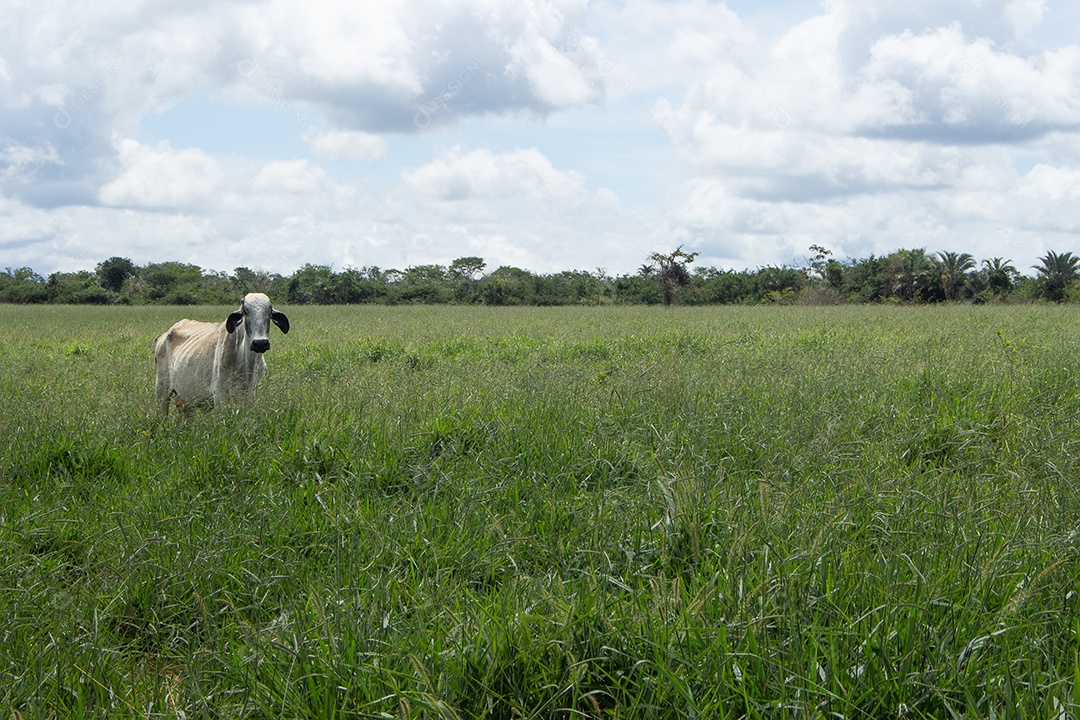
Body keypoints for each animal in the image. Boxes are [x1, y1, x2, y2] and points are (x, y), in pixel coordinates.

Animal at [155, 292, 290, 415]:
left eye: (269, 312)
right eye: (245, 311)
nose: (260, 343)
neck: (245, 364)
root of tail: (163, 335)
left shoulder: (248, 395)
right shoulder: (219, 395)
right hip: (162, 391)